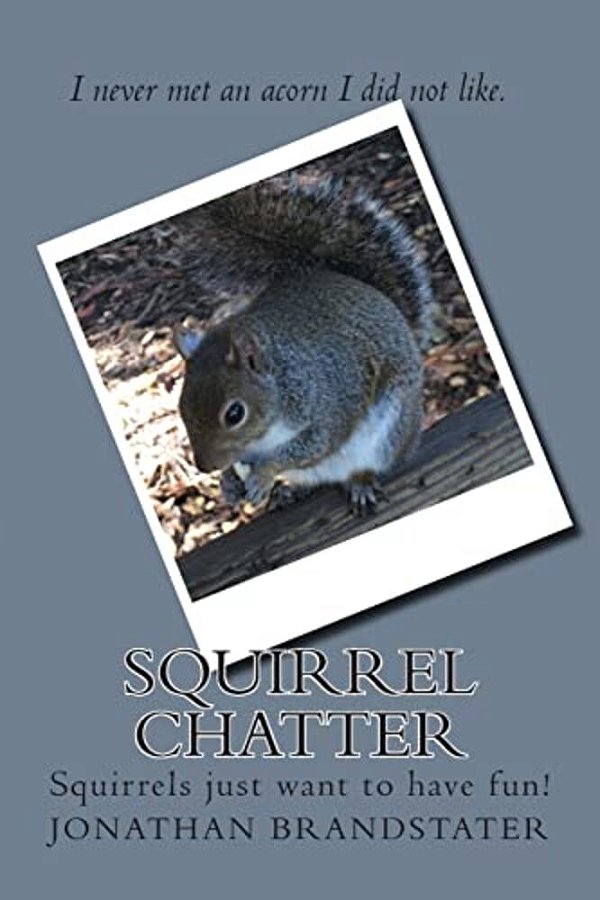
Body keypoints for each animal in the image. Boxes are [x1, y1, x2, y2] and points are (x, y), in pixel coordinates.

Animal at [173, 171, 433, 515]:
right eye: (182, 407)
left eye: (234, 414)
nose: (205, 466)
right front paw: (228, 482)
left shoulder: (329, 399)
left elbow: (313, 444)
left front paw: (263, 474)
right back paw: (290, 492)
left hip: (389, 432)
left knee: (368, 464)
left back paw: (360, 483)